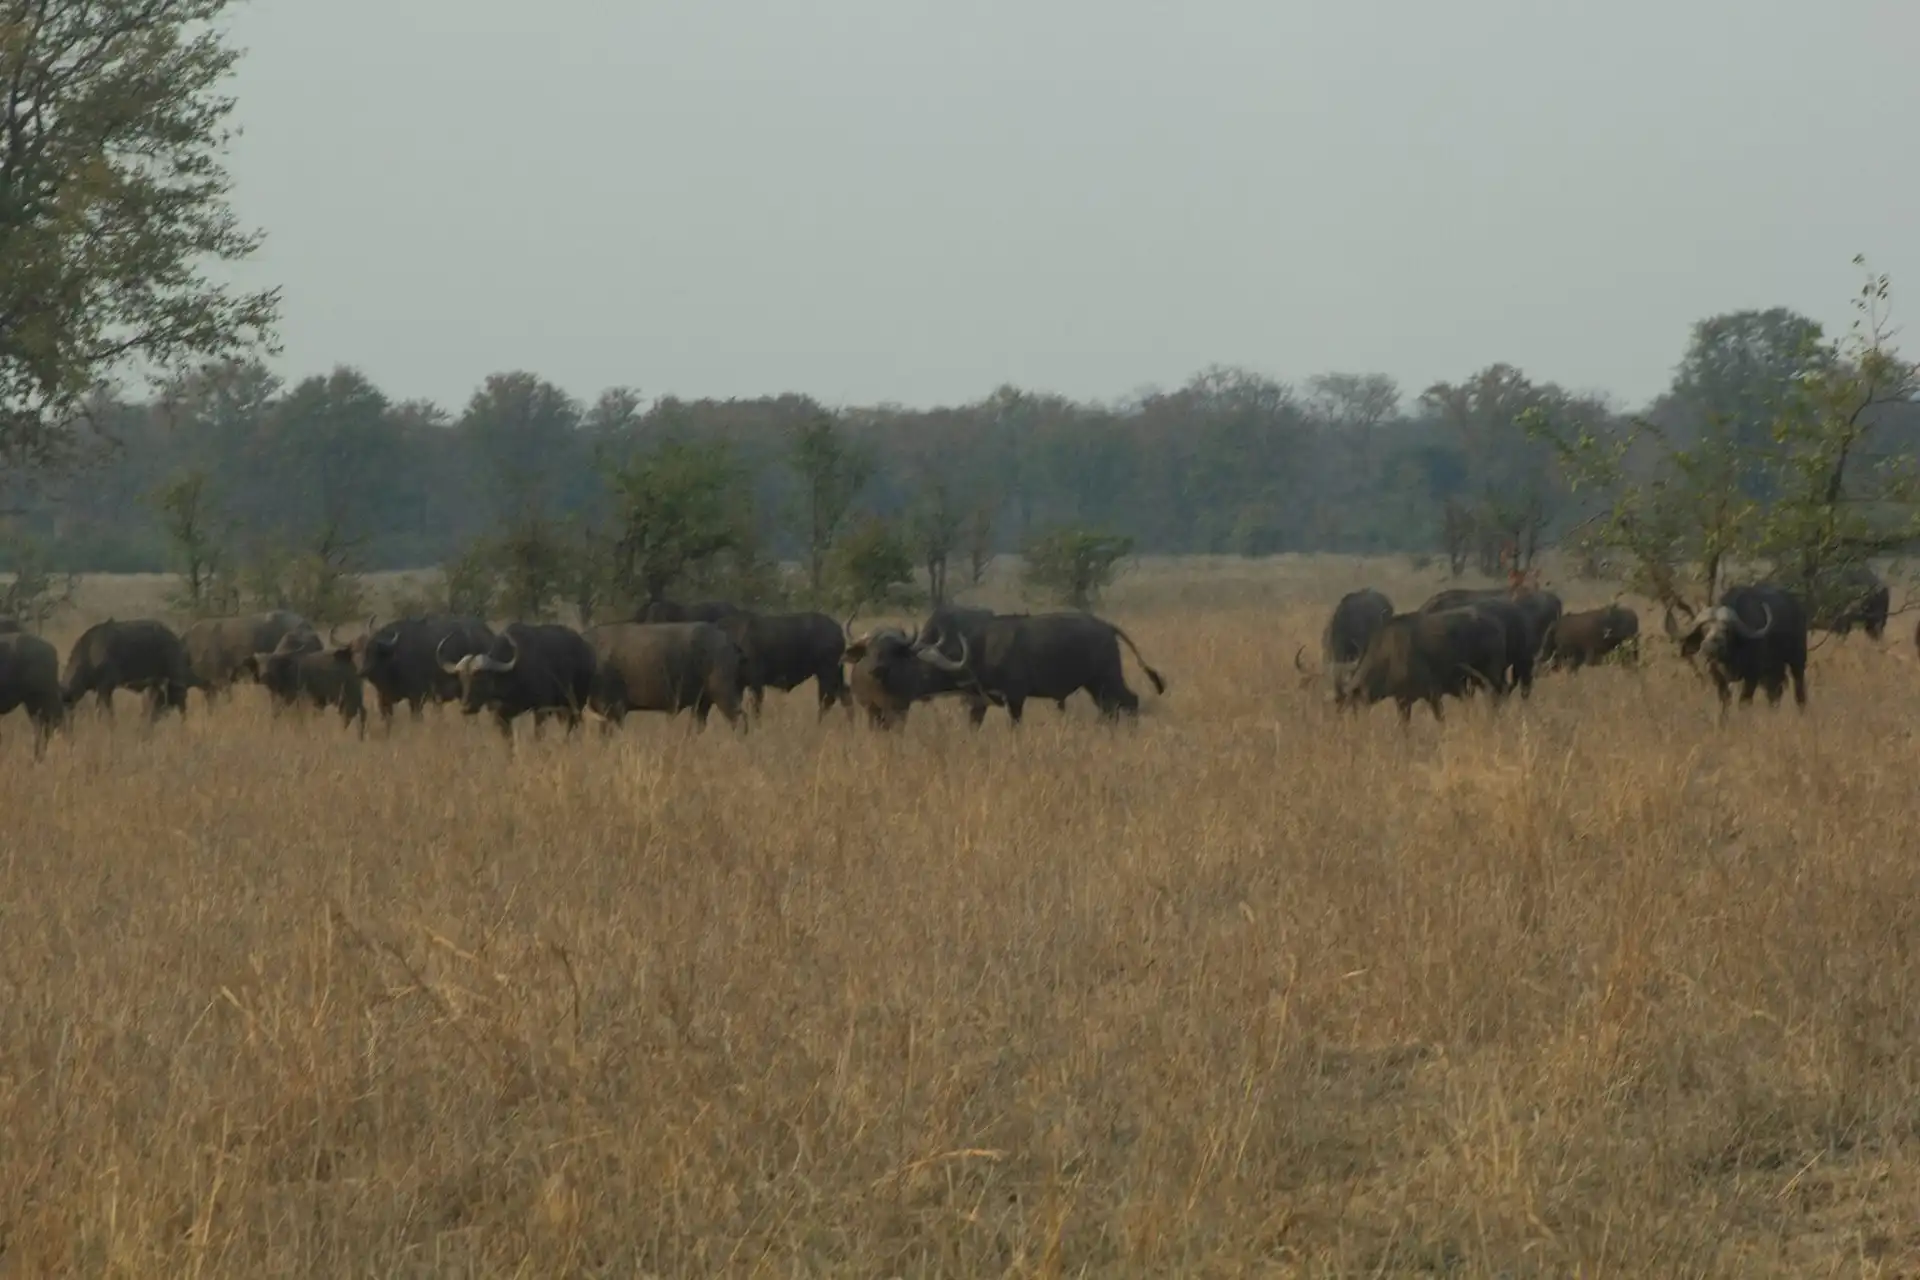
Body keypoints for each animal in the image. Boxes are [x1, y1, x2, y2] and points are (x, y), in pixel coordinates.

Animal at [62, 619, 193, 720]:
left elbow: (108, 715)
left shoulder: (106, 688)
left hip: (175, 684)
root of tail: (178, 640)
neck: (89, 651)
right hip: (157, 686)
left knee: (182, 705)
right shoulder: (102, 691)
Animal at [438, 622, 597, 739]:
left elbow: (538, 736)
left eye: (481, 678)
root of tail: (587, 650)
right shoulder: (501, 717)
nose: (465, 708)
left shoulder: (541, 710)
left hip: (577, 703)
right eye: (462, 679)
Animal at [908, 610, 1166, 724]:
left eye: (924, 670)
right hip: (1096, 686)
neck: (979, 647)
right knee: (1110, 709)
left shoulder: (1015, 698)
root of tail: (1107, 627)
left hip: (1107, 677)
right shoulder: (979, 702)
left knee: (1131, 701)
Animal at [1335, 607, 1509, 722]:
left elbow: (1441, 721)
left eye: (1353, 706)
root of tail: (1496, 625)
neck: (1388, 656)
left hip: (1491, 676)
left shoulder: (1433, 696)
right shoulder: (1402, 701)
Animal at [1665, 584, 1808, 720]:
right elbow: (1725, 702)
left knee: (1798, 688)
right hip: (1774, 668)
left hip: (1797, 659)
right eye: (1705, 629)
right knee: (1775, 692)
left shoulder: (1752, 676)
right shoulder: (1720, 679)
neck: (1730, 659)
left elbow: (1744, 702)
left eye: (1726, 630)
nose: (1709, 648)